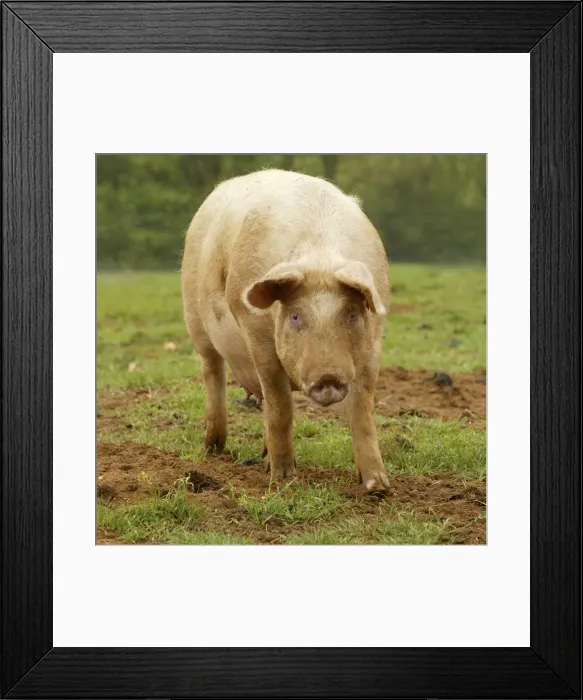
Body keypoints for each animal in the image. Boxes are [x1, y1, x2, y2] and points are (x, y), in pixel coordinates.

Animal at [181, 169, 391, 493]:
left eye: (352, 314)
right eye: (295, 316)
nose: (328, 376)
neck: (320, 256)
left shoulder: (374, 344)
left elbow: (362, 408)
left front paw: (378, 487)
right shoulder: (258, 336)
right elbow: (281, 405)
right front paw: (283, 480)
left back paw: (263, 456)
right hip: (195, 318)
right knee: (213, 372)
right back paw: (213, 448)